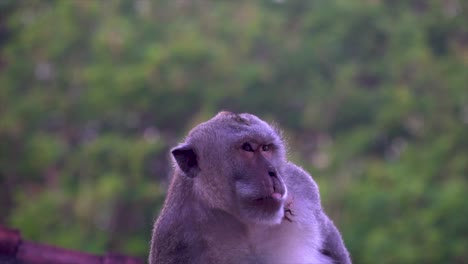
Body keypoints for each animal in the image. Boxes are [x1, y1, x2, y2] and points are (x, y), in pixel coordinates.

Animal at [150, 112, 352, 264]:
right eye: (247, 148)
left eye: (265, 148)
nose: (273, 172)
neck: (246, 222)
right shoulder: (175, 236)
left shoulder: (302, 185)